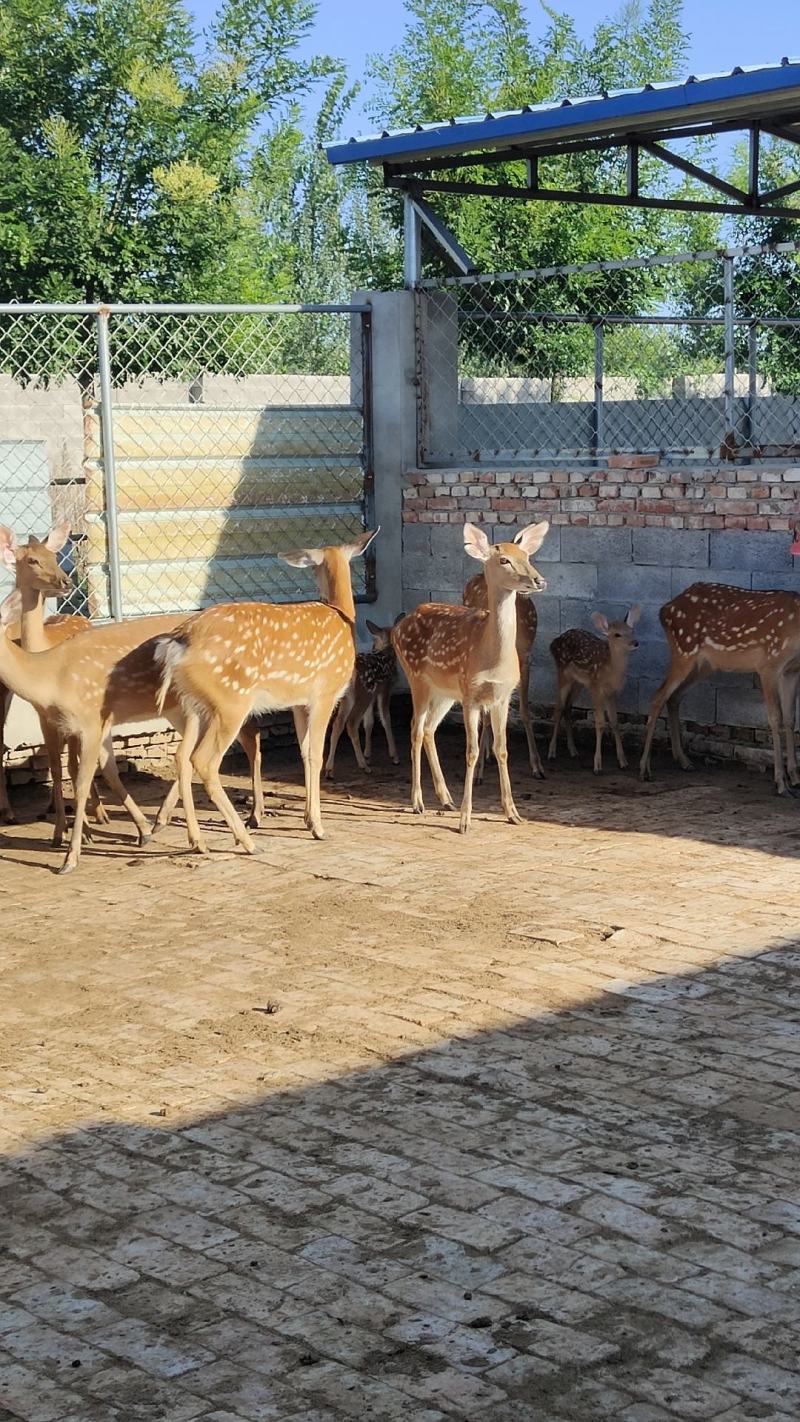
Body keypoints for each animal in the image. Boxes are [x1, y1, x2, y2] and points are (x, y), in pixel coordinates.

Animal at [153, 529, 379, 855]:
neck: (342, 616)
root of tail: (176, 644)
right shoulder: (323, 693)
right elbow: (316, 753)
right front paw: (318, 827)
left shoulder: (298, 702)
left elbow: (304, 751)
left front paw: (309, 820)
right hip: (231, 702)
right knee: (204, 760)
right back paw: (246, 841)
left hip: (194, 706)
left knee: (182, 756)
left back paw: (195, 840)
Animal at [325, 618, 399, 778]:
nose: (373, 647)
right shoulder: (384, 690)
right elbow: (386, 718)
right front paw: (394, 756)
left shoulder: (373, 695)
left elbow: (369, 722)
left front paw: (368, 754)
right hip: (362, 694)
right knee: (351, 723)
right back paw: (363, 766)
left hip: (348, 698)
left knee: (338, 723)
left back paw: (329, 769)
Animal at [548, 607, 641, 773]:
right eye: (617, 634)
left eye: (632, 630)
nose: (635, 643)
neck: (611, 673)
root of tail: (554, 642)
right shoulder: (596, 688)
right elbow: (600, 723)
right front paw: (597, 765)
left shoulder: (611, 693)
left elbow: (615, 722)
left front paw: (623, 762)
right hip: (562, 673)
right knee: (558, 709)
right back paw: (551, 752)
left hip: (578, 682)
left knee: (567, 707)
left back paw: (573, 750)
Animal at [639, 572, 800, 795]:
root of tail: (664, 610)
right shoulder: (769, 664)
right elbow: (775, 718)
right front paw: (781, 784)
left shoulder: (791, 670)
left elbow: (790, 719)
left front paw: (795, 779)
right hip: (684, 650)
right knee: (658, 696)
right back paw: (644, 769)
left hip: (705, 664)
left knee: (674, 697)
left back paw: (684, 761)